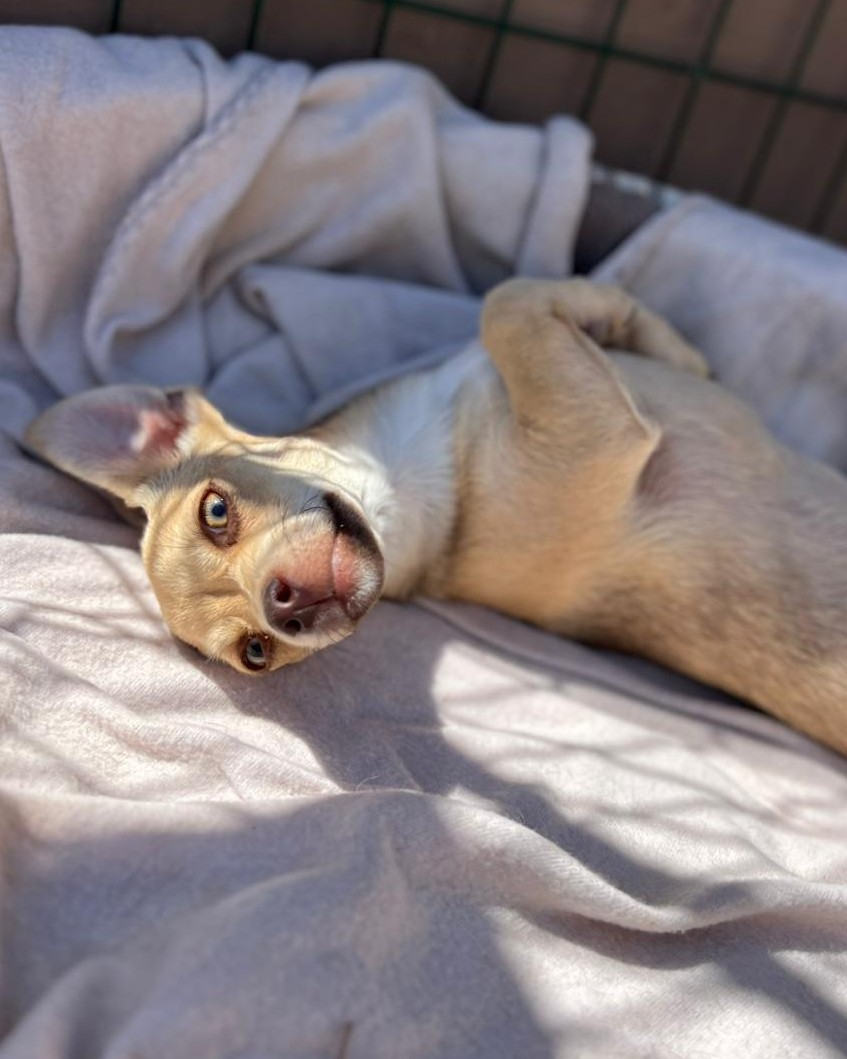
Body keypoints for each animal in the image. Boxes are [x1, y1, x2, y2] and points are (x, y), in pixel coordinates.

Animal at [26, 279, 847, 756]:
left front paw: (644, 331)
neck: (425, 503)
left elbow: (520, 312)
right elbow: (507, 306)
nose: (285, 606)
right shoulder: (602, 426)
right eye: (256, 653)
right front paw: (620, 315)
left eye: (216, 510)